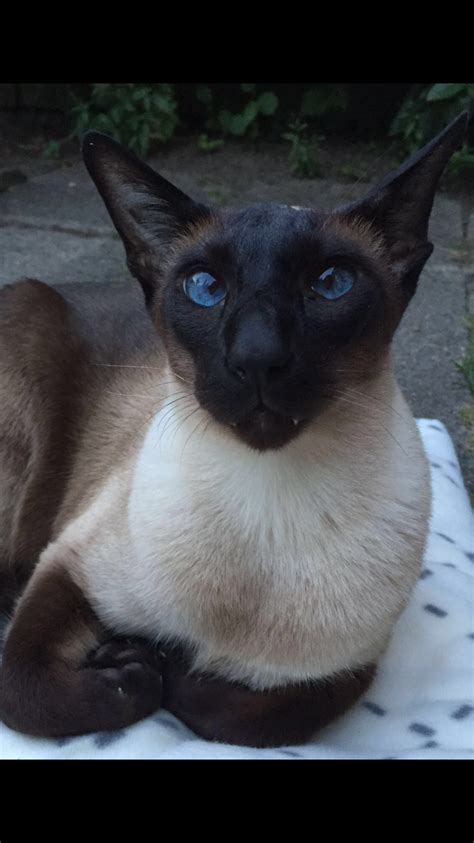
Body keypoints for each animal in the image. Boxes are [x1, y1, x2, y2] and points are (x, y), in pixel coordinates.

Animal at [0, 113, 468, 752]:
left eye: (331, 282)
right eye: (205, 288)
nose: (257, 356)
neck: (267, 509)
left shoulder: (346, 668)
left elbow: (238, 715)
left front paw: (160, 660)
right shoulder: (66, 567)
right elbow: (28, 689)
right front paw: (132, 665)